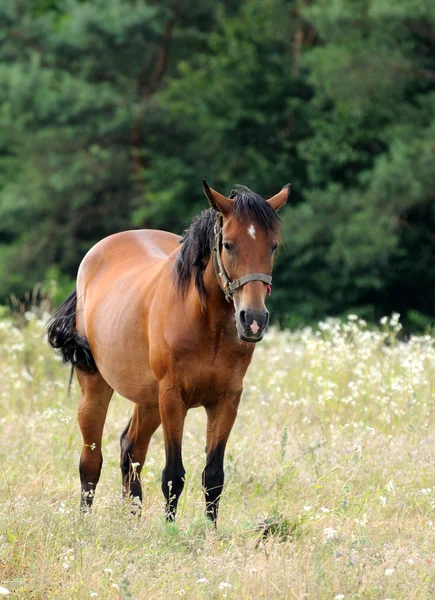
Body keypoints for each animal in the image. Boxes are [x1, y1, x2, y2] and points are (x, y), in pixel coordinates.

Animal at [48, 180, 290, 524]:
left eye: (272, 247)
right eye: (228, 245)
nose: (253, 320)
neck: (205, 323)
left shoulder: (227, 400)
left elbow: (213, 476)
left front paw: (210, 532)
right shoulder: (173, 398)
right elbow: (174, 474)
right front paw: (170, 530)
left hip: (148, 401)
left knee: (131, 449)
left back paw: (132, 521)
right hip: (97, 390)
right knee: (91, 461)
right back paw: (84, 523)